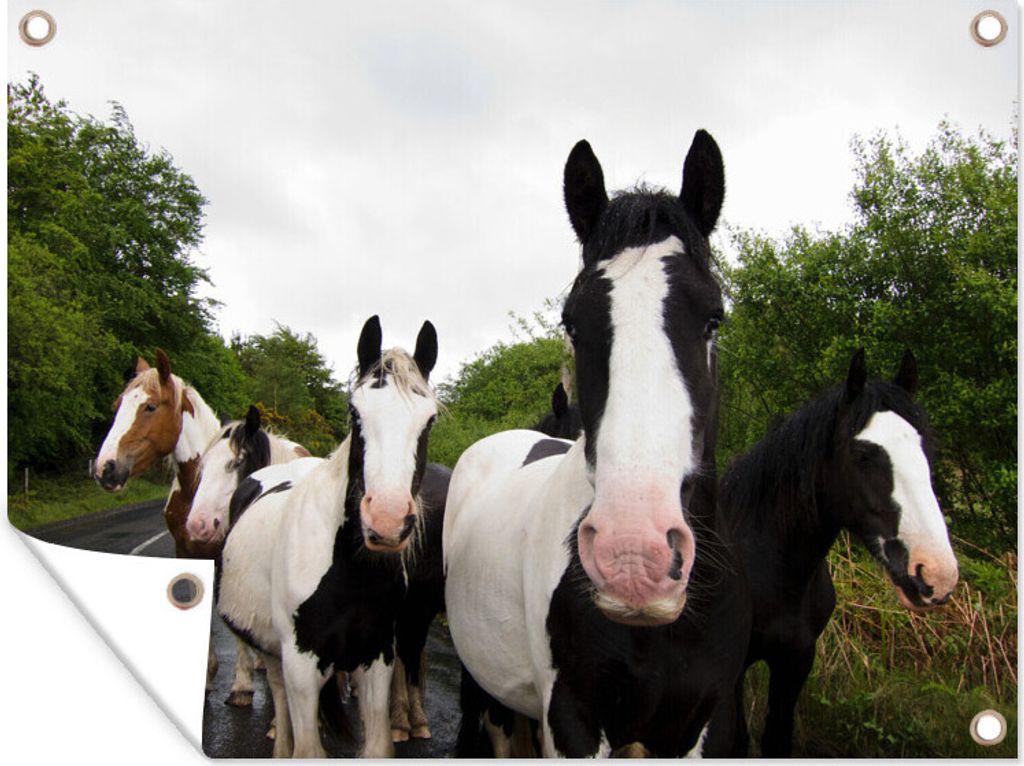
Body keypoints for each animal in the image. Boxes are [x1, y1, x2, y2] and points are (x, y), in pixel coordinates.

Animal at [216, 316, 443, 757]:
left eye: (430, 420)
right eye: (355, 412)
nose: (387, 520)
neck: (349, 572)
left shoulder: (377, 659)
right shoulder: (302, 666)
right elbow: (306, 747)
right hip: (276, 654)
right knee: (279, 697)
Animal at [710, 348, 959, 757]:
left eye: (928, 448)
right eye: (863, 454)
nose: (936, 573)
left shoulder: (796, 661)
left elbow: (776, 739)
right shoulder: (728, 674)